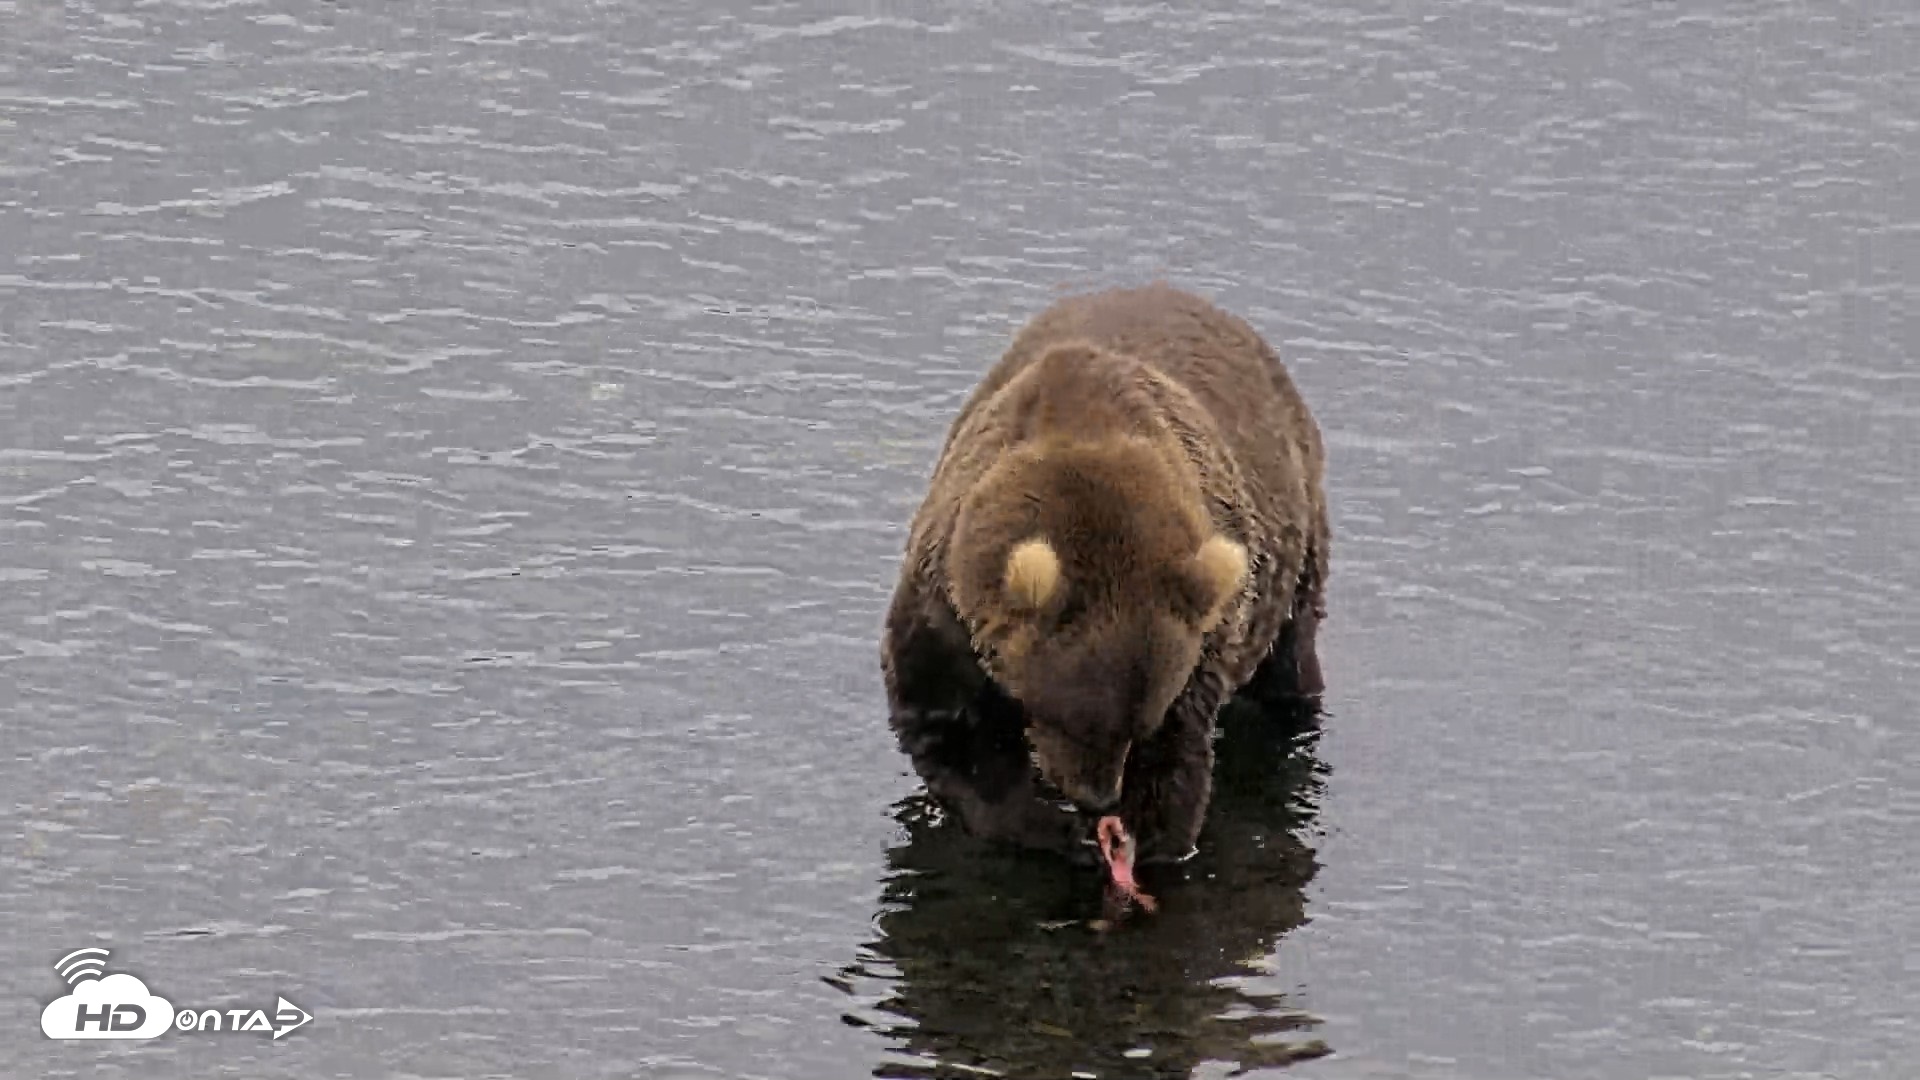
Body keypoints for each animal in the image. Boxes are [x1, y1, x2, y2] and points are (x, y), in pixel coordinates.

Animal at [879, 282, 1329, 865]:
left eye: (1139, 723)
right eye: (1074, 717)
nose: (1099, 797)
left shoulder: (1201, 645)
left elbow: (1178, 756)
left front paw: (1151, 838)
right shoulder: (942, 607)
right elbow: (944, 723)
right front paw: (1048, 826)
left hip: (1300, 544)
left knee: (1291, 658)